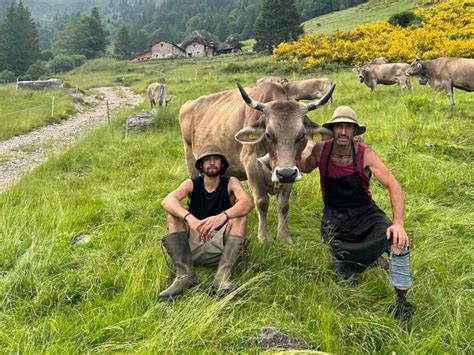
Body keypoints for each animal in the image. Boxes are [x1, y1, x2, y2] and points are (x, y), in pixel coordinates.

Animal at [180, 81, 336, 243]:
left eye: (301, 135)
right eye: (268, 134)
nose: (285, 173)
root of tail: (189, 104)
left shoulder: (292, 170)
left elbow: (284, 205)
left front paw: (284, 237)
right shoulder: (251, 164)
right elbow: (261, 202)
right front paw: (264, 237)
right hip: (191, 159)